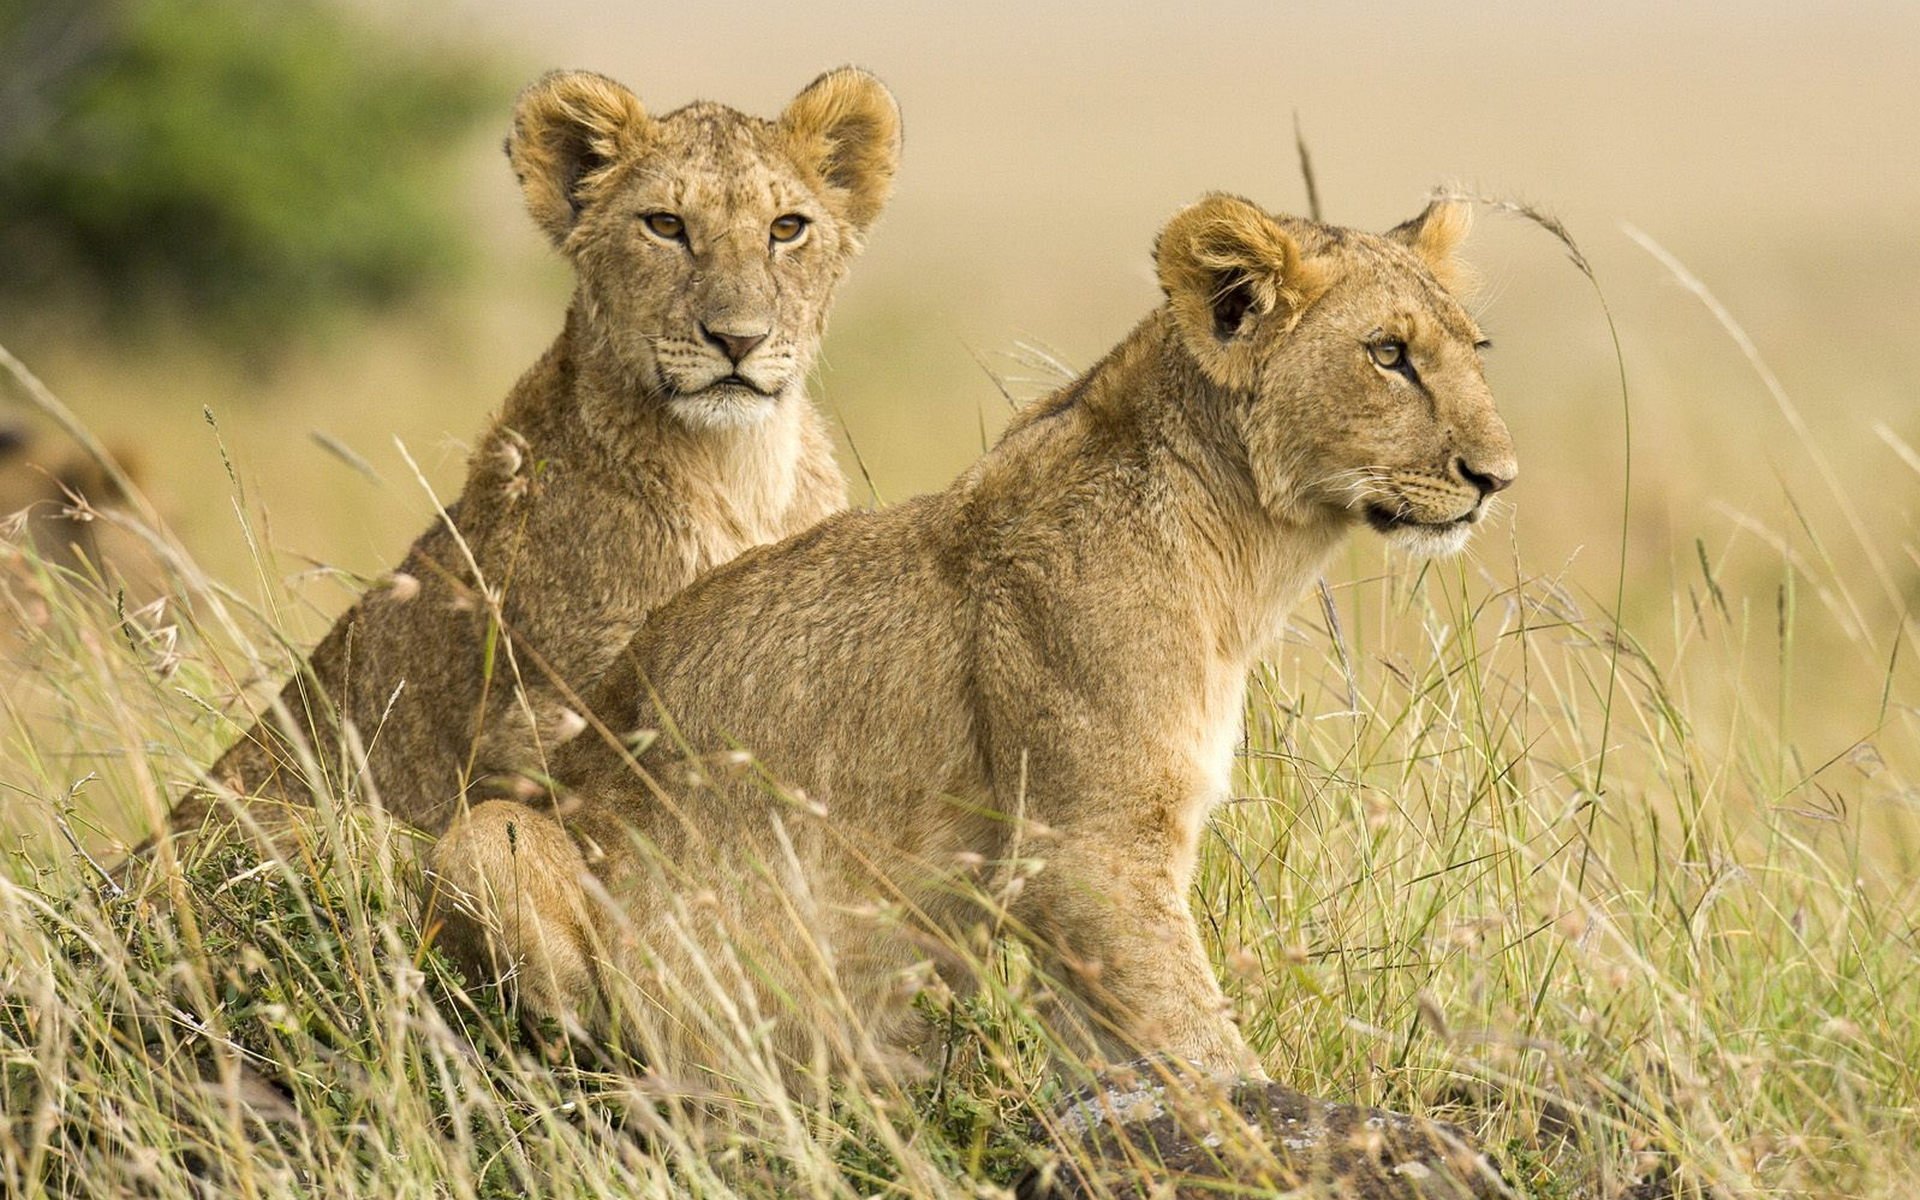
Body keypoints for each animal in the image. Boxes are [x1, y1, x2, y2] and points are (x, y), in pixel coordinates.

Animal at [426, 194, 1517, 1082]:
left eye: (1475, 350)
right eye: (1388, 354)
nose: (1496, 477)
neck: (1247, 558)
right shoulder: (1085, 850)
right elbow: (1204, 1046)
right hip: (487, 837)